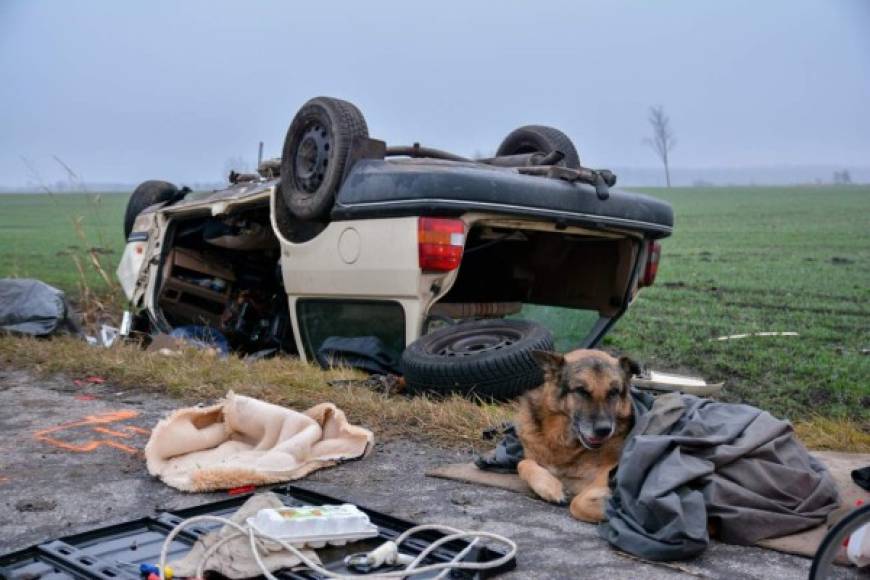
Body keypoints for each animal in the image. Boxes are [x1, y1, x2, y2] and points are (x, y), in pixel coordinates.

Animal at [516, 352, 640, 524]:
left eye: (613, 392)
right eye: (581, 391)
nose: (604, 430)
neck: (563, 443)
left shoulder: (604, 475)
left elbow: (577, 504)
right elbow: (522, 463)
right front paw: (550, 487)